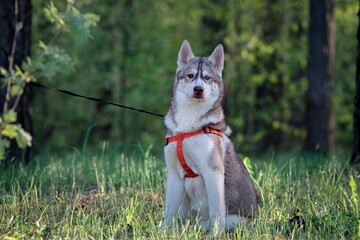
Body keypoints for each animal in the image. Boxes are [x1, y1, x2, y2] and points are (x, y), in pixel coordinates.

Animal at [165, 39, 258, 232]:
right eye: (191, 76)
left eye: (207, 78)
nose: (198, 89)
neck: (189, 125)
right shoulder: (173, 174)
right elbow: (169, 210)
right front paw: (163, 231)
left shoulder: (212, 171)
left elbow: (216, 210)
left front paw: (215, 234)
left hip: (235, 220)